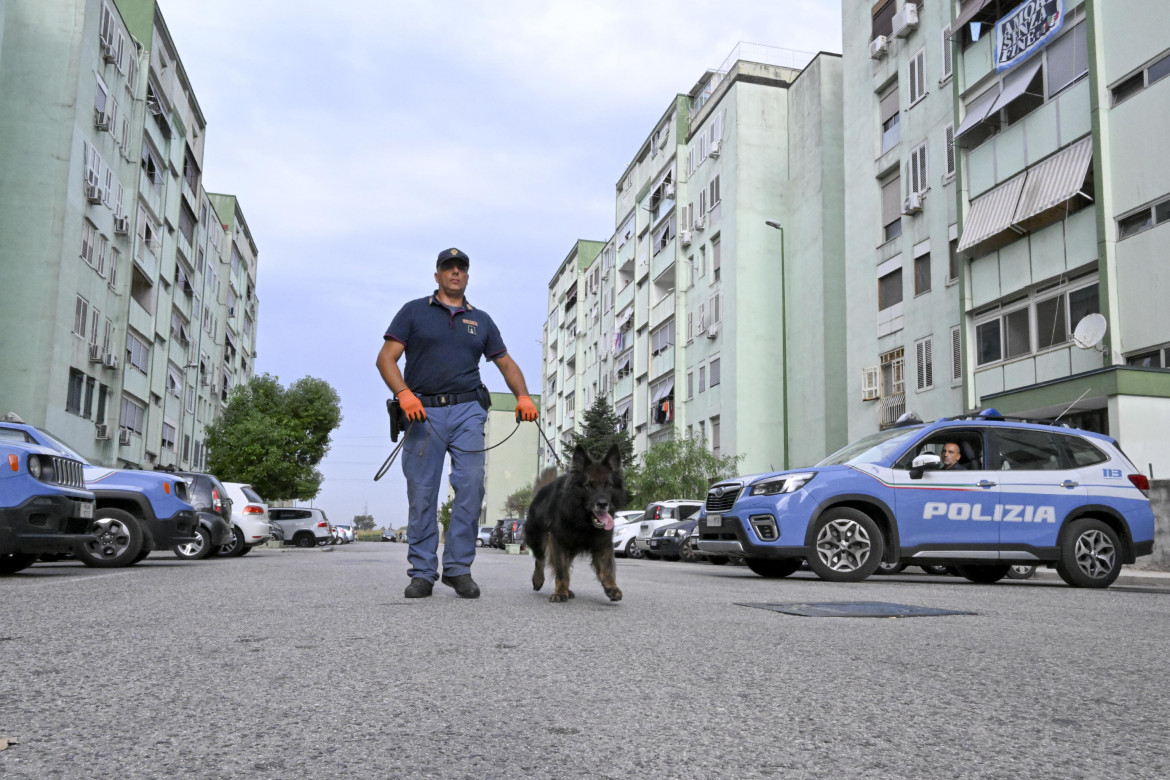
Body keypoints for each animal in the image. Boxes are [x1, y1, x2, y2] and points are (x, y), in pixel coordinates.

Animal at [526, 444, 627, 603]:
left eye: (608, 485)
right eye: (589, 485)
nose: (602, 504)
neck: (583, 521)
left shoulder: (603, 543)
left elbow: (608, 567)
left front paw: (611, 587)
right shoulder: (558, 541)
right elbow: (561, 570)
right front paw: (560, 591)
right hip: (538, 539)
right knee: (540, 559)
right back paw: (538, 580)